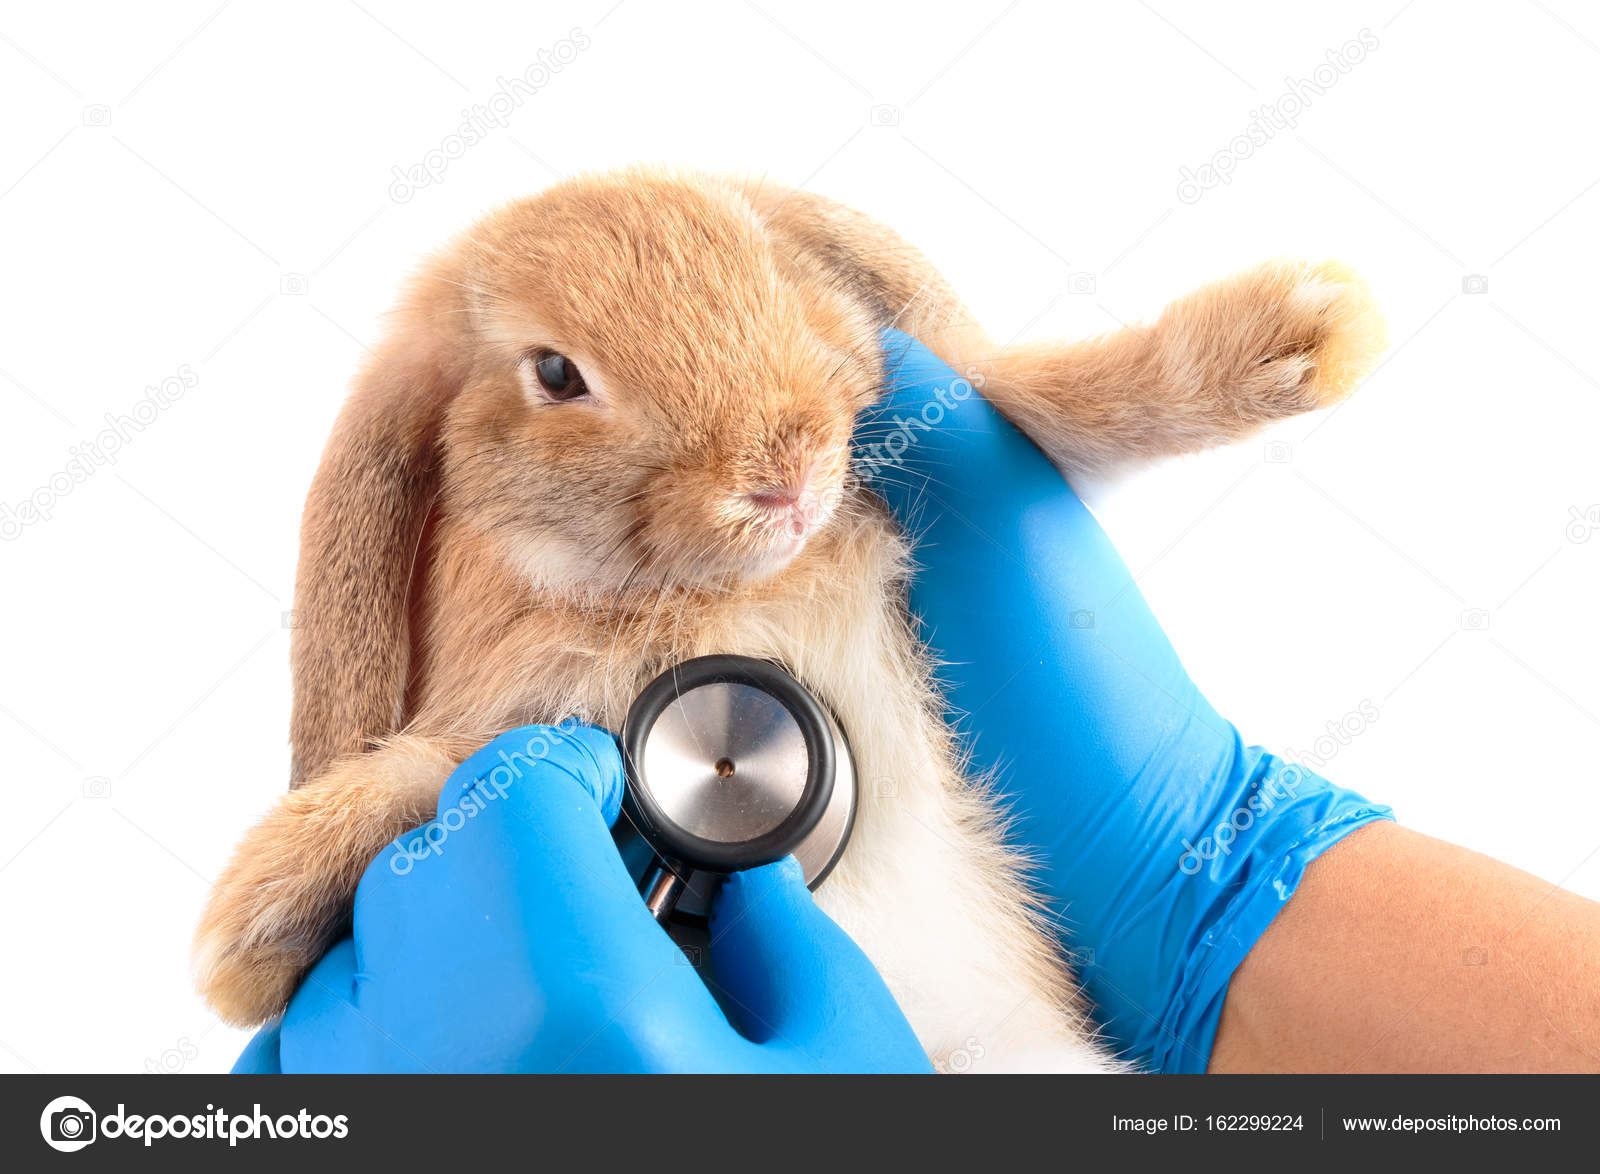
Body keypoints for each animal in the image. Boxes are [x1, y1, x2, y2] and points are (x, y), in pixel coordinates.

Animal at [193, 166, 1386, 1072]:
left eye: (768, 275)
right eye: (556, 372)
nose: (787, 473)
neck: (706, 595)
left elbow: (1078, 398)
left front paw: (1310, 331)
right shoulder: (516, 714)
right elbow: (426, 771)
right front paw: (249, 937)